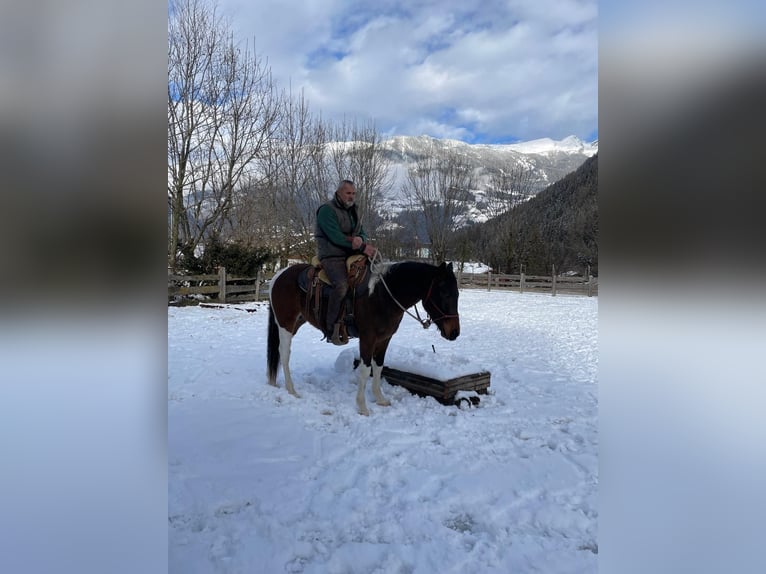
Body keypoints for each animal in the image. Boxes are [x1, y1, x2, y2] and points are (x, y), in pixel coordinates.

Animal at [268, 264, 462, 416]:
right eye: (444, 293)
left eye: (457, 294)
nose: (454, 332)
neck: (382, 296)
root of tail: (280, 275)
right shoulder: (367, 338)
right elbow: (365, 369)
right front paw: (362, 407)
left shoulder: (384, 339)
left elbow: (379, 367)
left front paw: (380, 399)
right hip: (286, 325)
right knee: (284, 354)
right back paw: (292, 390)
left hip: (296, 323)